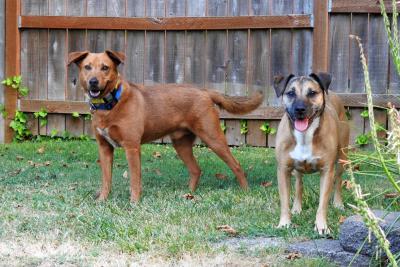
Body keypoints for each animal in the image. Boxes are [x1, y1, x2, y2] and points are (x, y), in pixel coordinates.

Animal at [67, 50, 264, 203]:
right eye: (87, 67)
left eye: (105, 67)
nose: (93, 81)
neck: (110, 104)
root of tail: (205, 91)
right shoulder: (104, 148)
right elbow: (106, 179)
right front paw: (102, 200)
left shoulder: (132, 147)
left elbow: (134, 180)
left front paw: (134, 203)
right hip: (181, 144)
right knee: (196, 170)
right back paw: (188, 194)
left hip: (213, 138)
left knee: (236, 165)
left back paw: (246, 192)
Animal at [274, 73, 348, 234]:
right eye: (290, 93)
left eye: (312, 93)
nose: (299, 109)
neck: (304, 135)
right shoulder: (283, 170)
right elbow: (284, 202)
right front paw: (284, 223)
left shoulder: (327, 171)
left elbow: (322, 204)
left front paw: (321, 226)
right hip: (296, 170)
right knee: (298, 184)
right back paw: (297, 208)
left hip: (342, 158)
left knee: (338, 180)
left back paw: (338, 203)